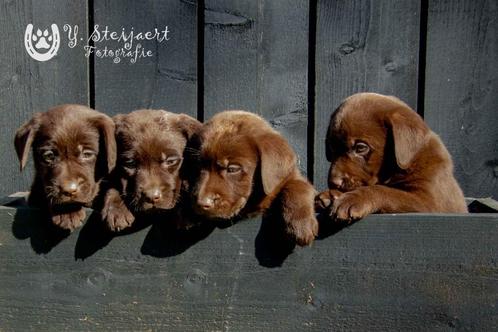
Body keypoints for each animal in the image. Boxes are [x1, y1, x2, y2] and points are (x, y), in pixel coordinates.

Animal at [191, 110, 320, 245]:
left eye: (232, 169)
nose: (201, 203)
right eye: (199, 165)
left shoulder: (291, 177)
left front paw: (300, 226)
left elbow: (298, 185)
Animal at [316, 92, 466, 222]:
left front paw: (352, 199)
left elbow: (387, 191)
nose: (334, 182)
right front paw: (330, 195)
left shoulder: (429, 202)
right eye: (332, 148)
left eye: (360, 148)